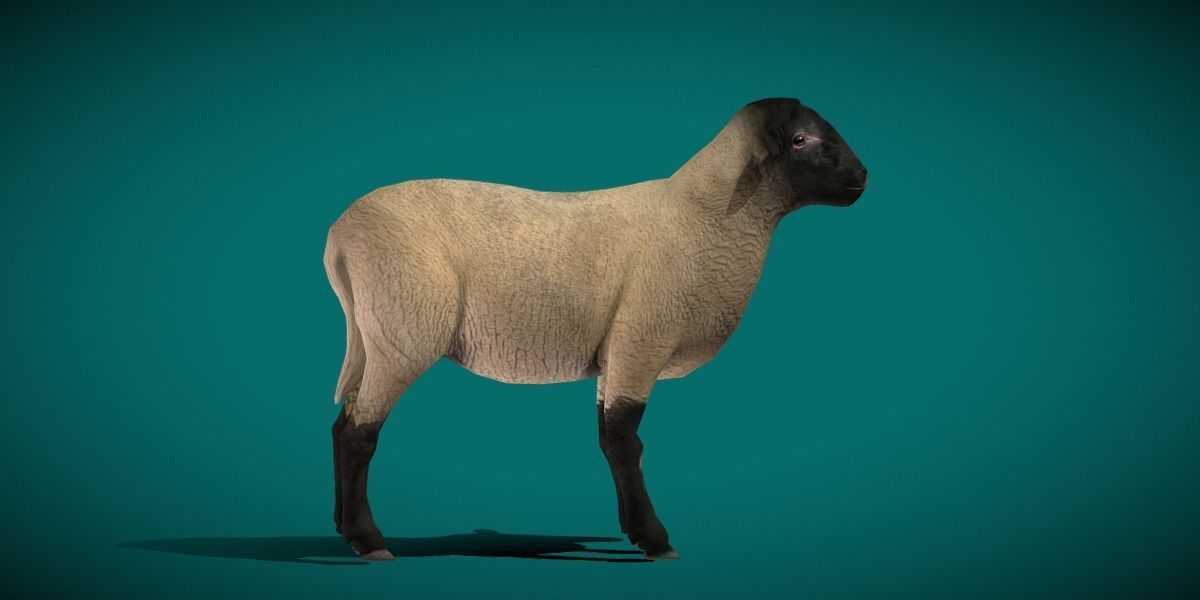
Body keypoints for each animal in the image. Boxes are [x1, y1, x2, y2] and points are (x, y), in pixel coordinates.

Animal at [323, 97, 868, 561]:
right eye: (800, 139)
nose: (863, 176)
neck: (707, 217)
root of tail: (338, 235)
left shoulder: (616, 352)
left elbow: (608, 436)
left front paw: (632, 528)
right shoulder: (642, 340)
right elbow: (626, 441)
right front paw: (655, 539)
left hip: (375, 337)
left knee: (342, 423)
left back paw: (343, 527)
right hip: (405, 330)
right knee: (359, 434)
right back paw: (369, 541)